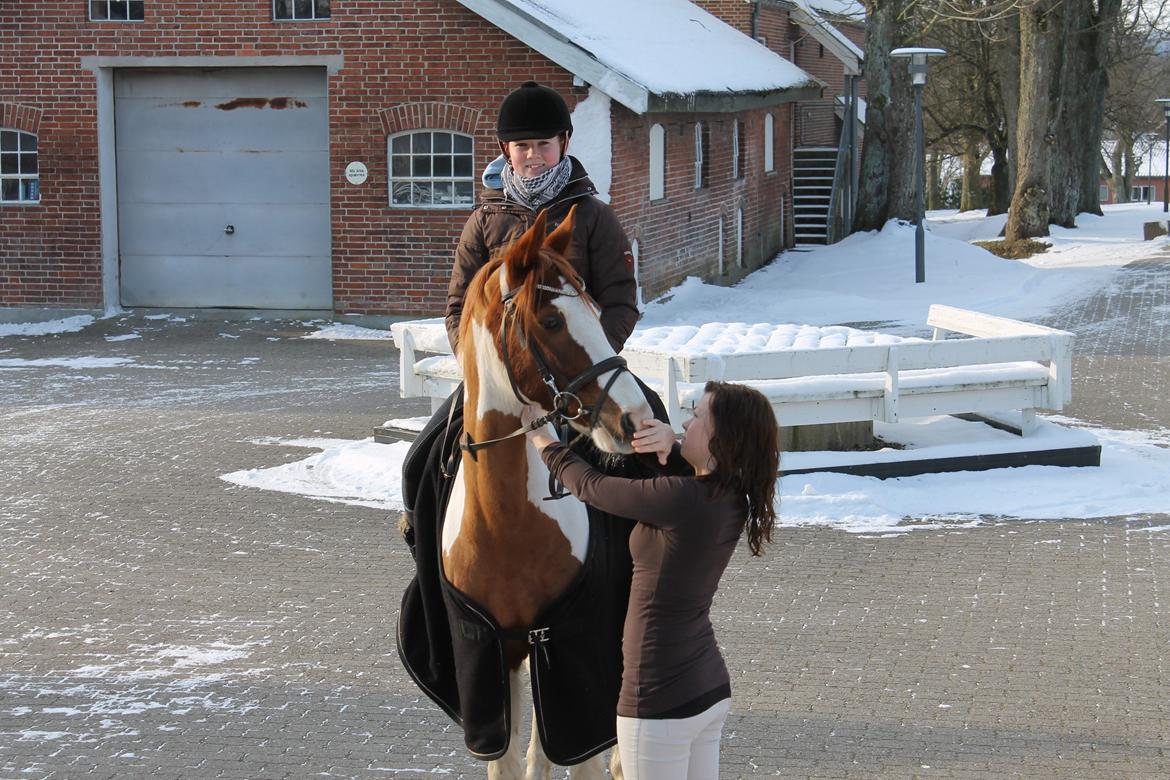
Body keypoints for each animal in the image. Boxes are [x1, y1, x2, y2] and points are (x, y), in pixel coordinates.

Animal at [444, 206, 655, 780]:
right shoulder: (497, 659)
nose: (635, 421)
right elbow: (513, 761)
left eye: (596, 313)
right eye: (553, 321)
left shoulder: (568, 652)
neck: (507, 523)